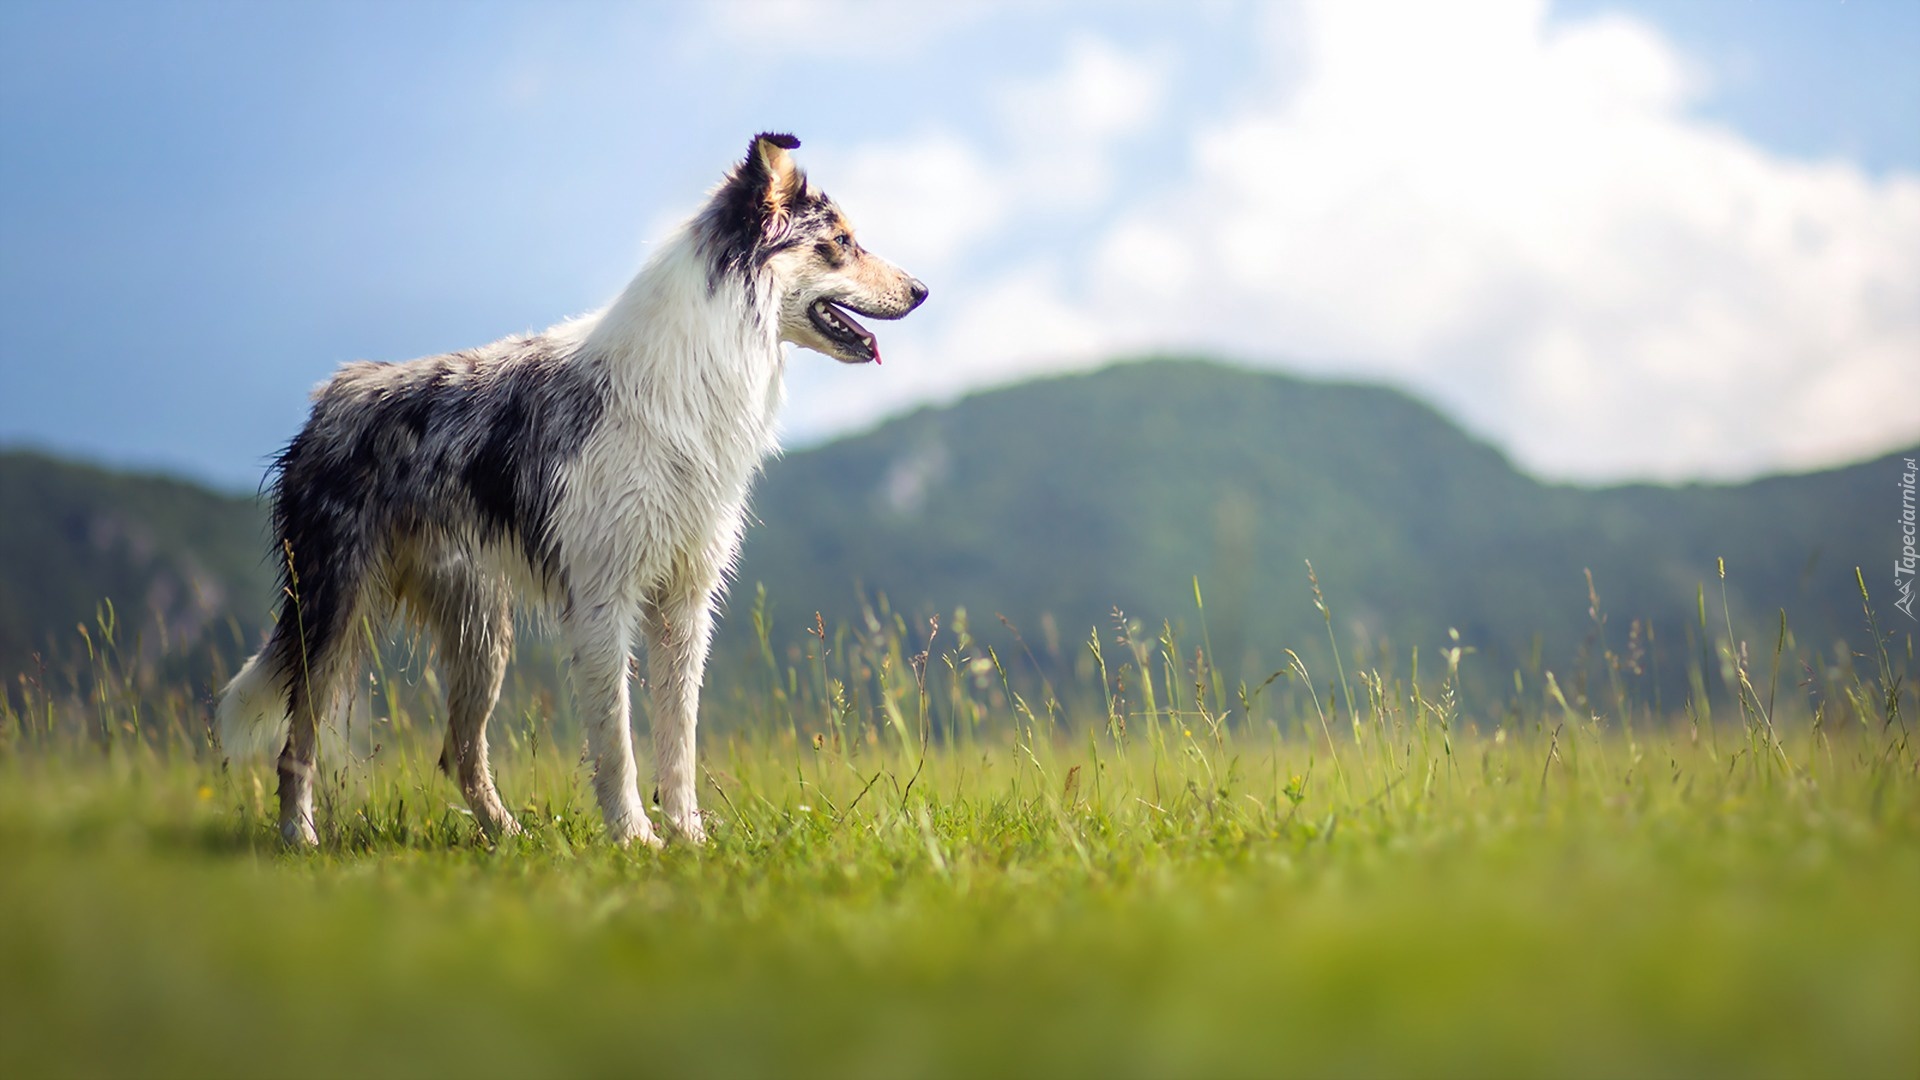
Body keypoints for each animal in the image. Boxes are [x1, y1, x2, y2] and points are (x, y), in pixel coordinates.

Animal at [214, 132, 925, 841]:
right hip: (334, 613)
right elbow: (618, 743)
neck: (696, 367)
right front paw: (637, 839)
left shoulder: (684, 603)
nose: (921, 289)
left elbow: (679, 742)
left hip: (480, 633)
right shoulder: (603, 598)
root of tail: (330, 395)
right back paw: (301, 839)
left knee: (459, 751)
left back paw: (508, 838)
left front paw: (689, 838)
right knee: (297, 744)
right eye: (841, 241)